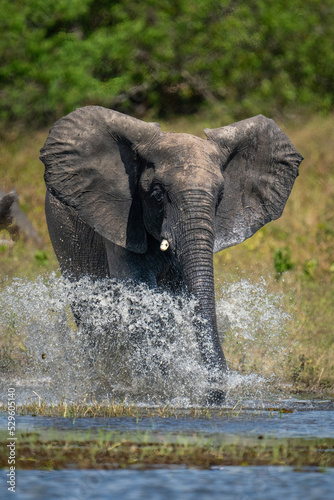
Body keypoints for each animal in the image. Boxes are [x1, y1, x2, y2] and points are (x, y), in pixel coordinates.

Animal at [39, 107, 302, 404]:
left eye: (220, 196)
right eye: (157, 194)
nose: (216, 391)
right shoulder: (121, 222)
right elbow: (140, 294)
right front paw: (161, 387)